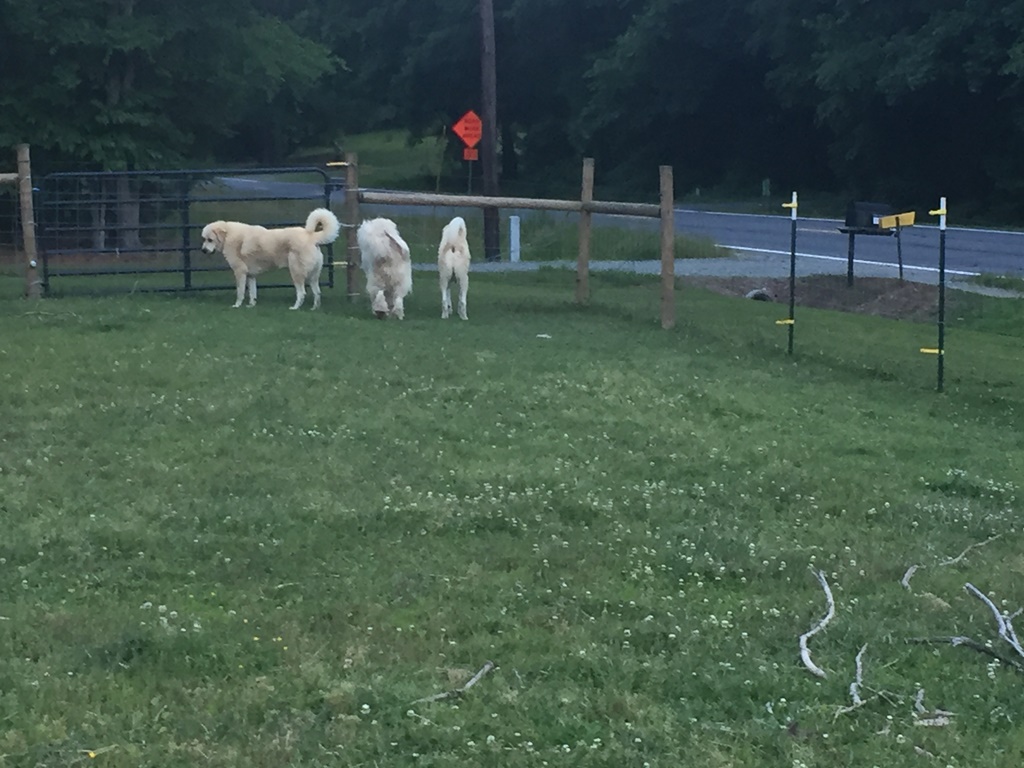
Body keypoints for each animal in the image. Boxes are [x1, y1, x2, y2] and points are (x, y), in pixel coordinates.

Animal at [199, 208, 339, 311]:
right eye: (204, 239)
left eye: (210, 239)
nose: (203, 250)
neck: (228, 235)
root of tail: (311, 236)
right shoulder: (250, 275)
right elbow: (253, 293)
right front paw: (251, 305)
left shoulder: (240, 272)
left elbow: (240, 292)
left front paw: (237, 305)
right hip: (313, 276)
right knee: (317, 292)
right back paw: (314, 309)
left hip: (296, 272)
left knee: (302, 293)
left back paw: (294, 308)